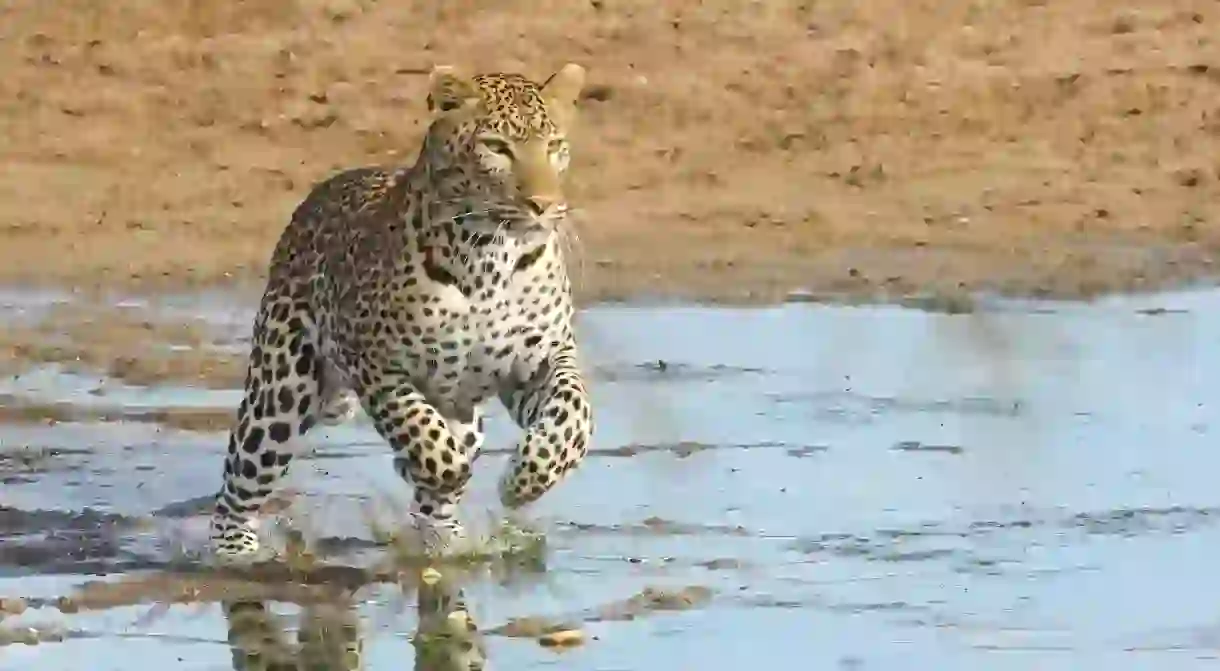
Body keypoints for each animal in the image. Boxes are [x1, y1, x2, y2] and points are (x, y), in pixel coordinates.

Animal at [208, 65, 595, 566]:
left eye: (554, 146)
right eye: (497, 147)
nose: (544, 205)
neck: (492, 259)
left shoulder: (544, 360)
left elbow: (574, 417)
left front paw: (523, 482)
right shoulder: (376, 365)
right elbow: (425, 437)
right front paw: (440, 468)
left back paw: (446, 543)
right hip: (281, 390)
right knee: (240, 477)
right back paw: (235, 553)